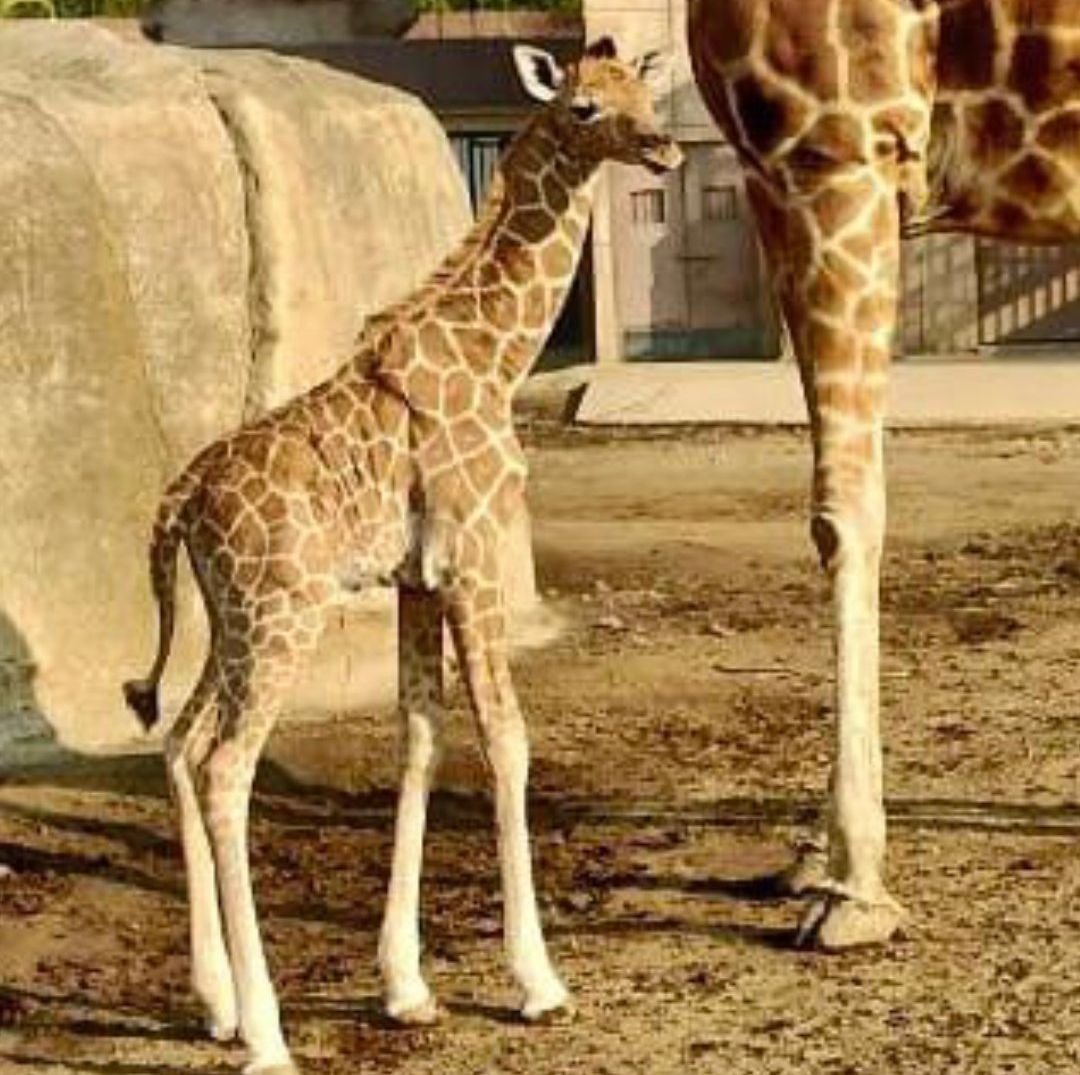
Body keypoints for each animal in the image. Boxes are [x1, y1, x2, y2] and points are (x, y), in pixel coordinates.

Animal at [124, 39, 681, 1074]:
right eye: (584, 107)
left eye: (642, 92)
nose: (662, 147)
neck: (496, 354)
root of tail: (181, 499)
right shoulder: (474, 557)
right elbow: (506, 737)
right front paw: (539, 981)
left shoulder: (419, 579)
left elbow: (418, 740)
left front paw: (406, 986)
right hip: (281, 616)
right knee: (224, 767)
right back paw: (265, 1034)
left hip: (232, 619)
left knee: (179, 742)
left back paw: (215, 1002)